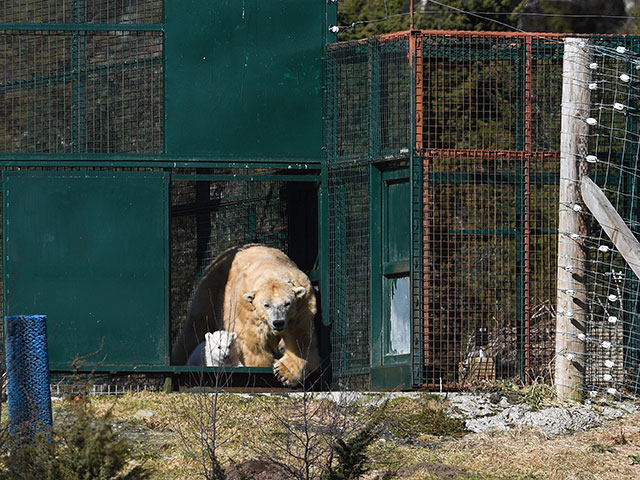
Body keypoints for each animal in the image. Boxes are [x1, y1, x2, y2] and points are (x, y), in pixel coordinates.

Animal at [171, 244, 318, 386]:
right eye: (266, 305)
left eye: (287, 303)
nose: (278, 322)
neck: (272, 270)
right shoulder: (247, 310)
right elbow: (254, 345)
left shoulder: (301, 308)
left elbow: (300, 339)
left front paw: (283, 373)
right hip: (211, 289)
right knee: (195, 326)